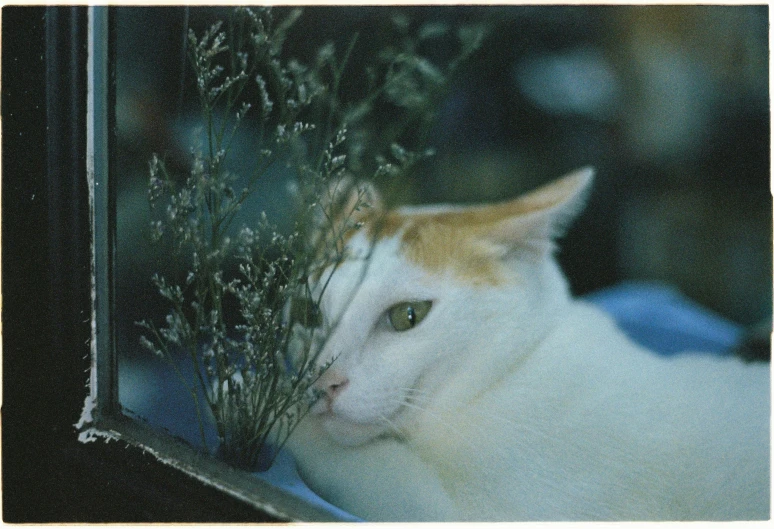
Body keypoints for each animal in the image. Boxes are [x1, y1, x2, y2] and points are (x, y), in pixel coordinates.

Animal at [284, 169, 768, 520]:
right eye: (308, 314)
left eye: (408, 316)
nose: (323, 383)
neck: (510, 372)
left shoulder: (459, 511)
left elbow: (346, 458)